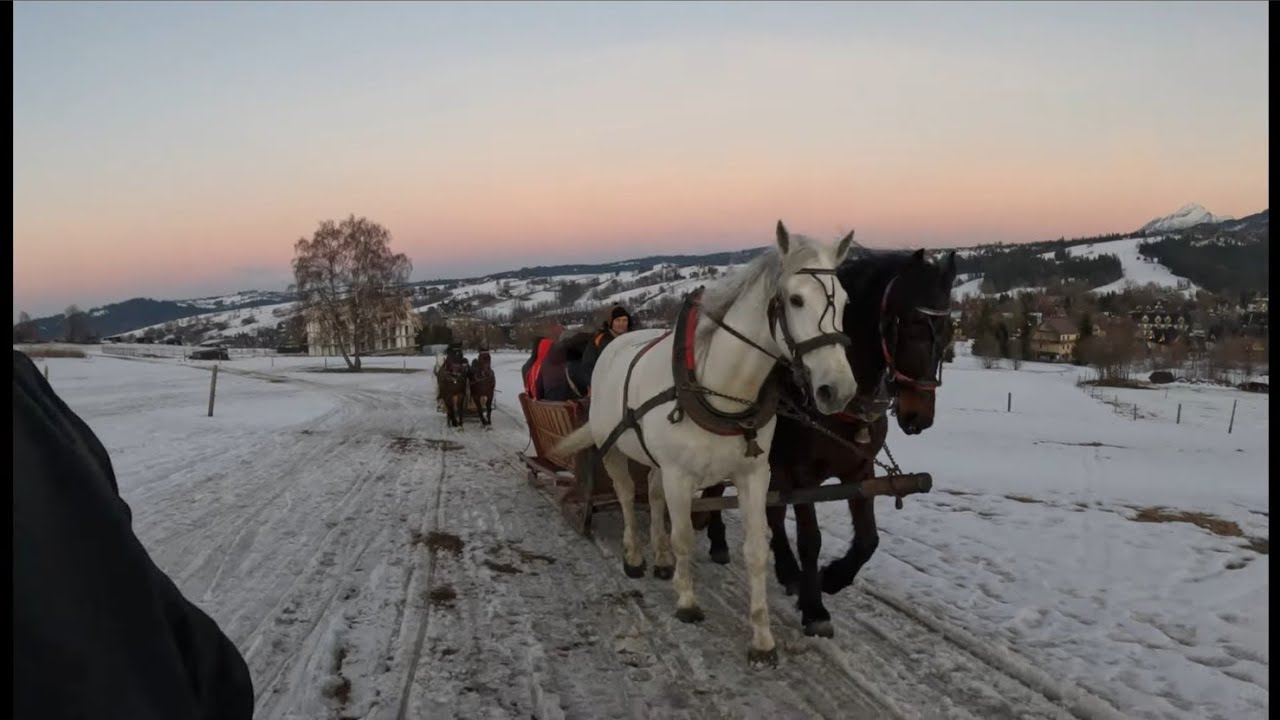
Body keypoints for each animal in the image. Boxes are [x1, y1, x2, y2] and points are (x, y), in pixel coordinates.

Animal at [554, 221, 859, 667]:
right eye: (796, 299)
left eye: (846, 302)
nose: (838, 390)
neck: (720, 387)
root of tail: (613, 345)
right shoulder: (681, 475)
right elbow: (684, 535)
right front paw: (686, 602)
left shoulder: (754, 474)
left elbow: (755, 550)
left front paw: (762, 638)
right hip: (612, 447)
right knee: (627, 495)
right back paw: (634, 555)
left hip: (656, 458)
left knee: (652, 493)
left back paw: (662, 559)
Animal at [700, 248, 957, 638]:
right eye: (911, 323)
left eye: (950, 329)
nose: (919, 416)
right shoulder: (800, 474)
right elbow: (810, 539)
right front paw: (815, 606)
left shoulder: (859, 471)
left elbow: (868, 539)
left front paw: (833, 577)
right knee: (720, 492)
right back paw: (719, 540)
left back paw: (784, 570)